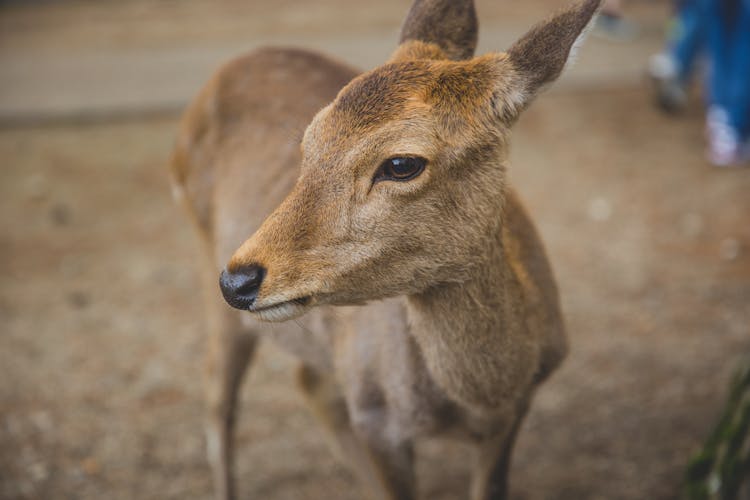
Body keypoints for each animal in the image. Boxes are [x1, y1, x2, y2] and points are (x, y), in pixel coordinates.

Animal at [169, 1, 600, 498]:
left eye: (401, 163)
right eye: (309, 143)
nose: (239, 279)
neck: (486, 393)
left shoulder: (516, 411)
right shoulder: (376, 418)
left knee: (307, 380)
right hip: (209, 266)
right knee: (217, 394)